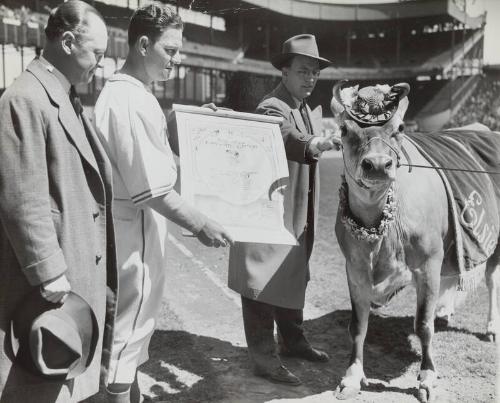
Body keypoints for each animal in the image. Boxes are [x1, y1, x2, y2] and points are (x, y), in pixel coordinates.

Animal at [330, 80, 498, 402]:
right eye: (344, 129)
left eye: (400, 127)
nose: (377, 165)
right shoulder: (354, 267)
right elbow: (357, 326)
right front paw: (352, 376)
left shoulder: (428, 262)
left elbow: (423, 325)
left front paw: (427, 377)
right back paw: (445, 311)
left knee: (492, 280)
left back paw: (491, 326)